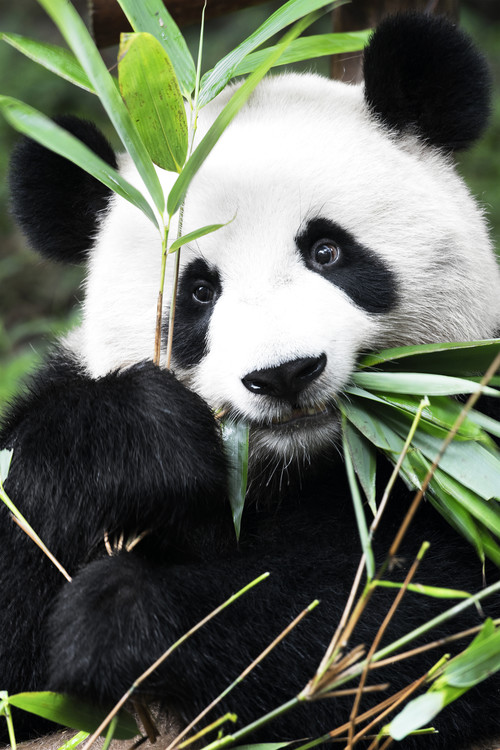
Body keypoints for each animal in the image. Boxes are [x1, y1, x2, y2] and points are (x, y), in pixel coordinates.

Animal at [1, 11, 500, 750]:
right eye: (199, 292)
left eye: (327, 250)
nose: (284, 373)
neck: (296, 468)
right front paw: (137, 443)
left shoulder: (466, 438)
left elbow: (415, 618)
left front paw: (123, 615)